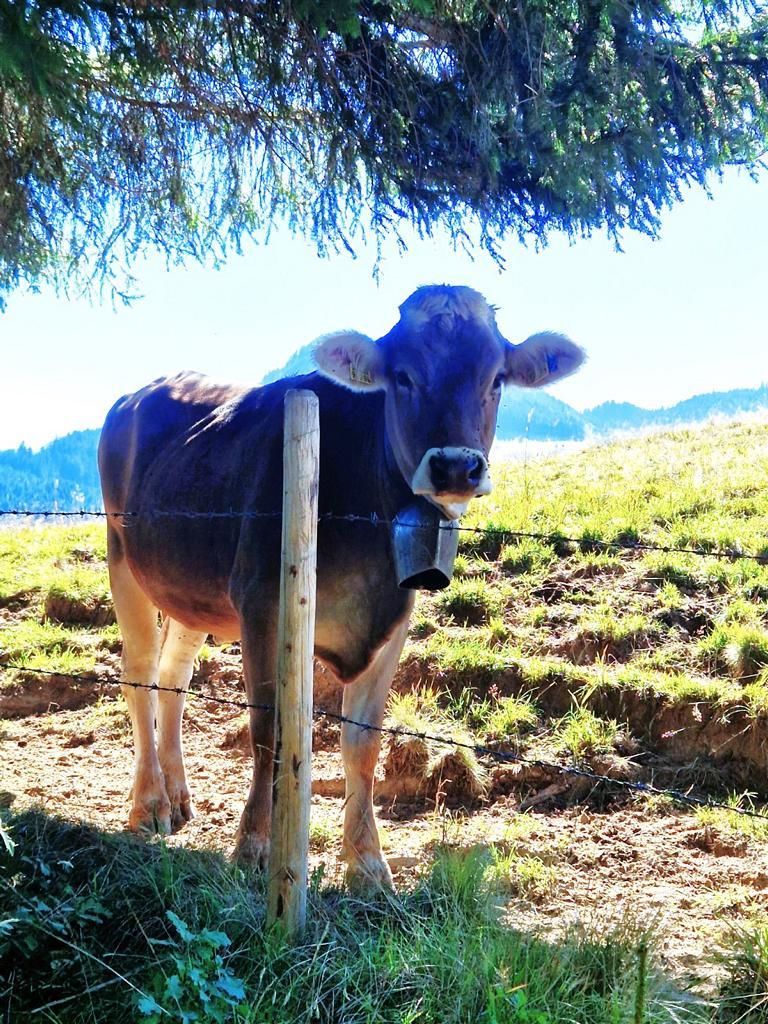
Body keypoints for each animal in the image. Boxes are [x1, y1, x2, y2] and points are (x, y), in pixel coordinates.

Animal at [99, 282, 585, 888]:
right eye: (402, 376)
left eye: (495, 378)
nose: (455, 467)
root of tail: (137, 393)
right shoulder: (262, 603)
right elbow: (269, 730)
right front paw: (255, 847)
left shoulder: (395, 617)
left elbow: (362, 743)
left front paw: (368, 862)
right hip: (122, 557)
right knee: (140, 672)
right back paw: (150, 804)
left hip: (193, 591)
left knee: (173, 676)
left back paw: (180, 794)